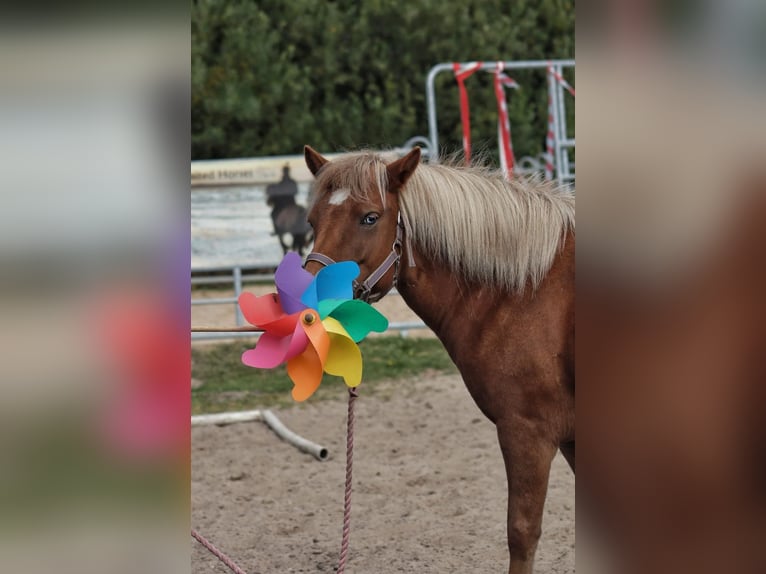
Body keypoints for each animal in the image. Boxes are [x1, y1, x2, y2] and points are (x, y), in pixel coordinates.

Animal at [302, 145, 575, 574]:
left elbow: (521, 533)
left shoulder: (528, 432)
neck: (529, 291)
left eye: (370, 218)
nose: (310, 304)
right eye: (312, 220)